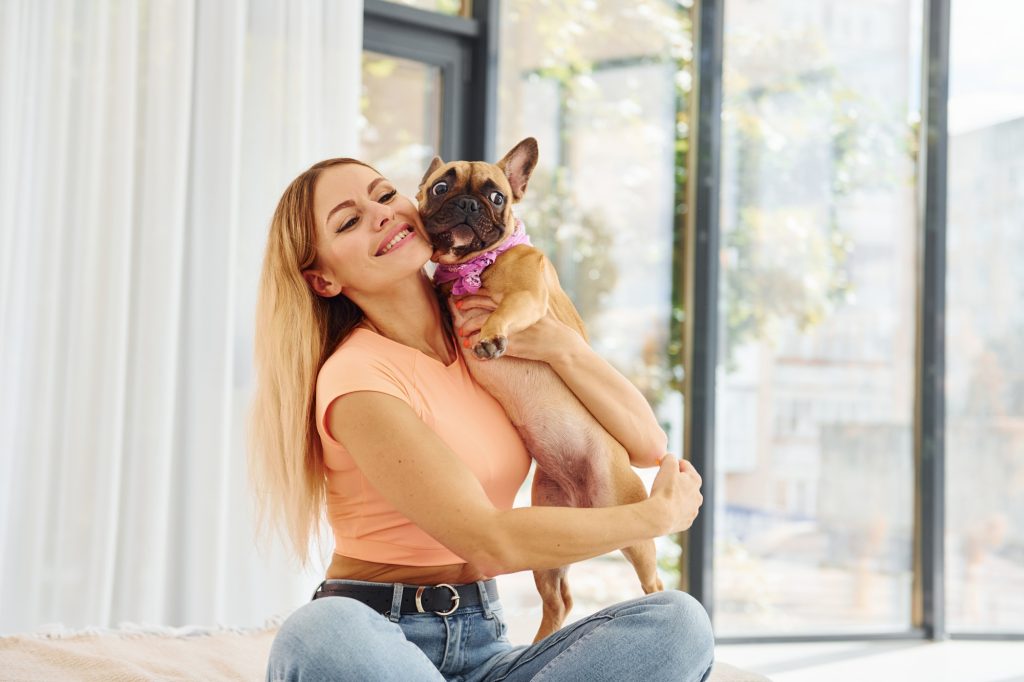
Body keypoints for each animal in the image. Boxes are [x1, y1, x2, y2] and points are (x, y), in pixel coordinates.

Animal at [415, 138, 663, 643]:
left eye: (496, 196)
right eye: (441, 187)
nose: (467, 204)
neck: (475, 264)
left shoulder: (526, 298)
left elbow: (505, 310)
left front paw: (491, 335)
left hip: (629, 519)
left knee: (652, 579)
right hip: (549, 536)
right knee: (559, 599)